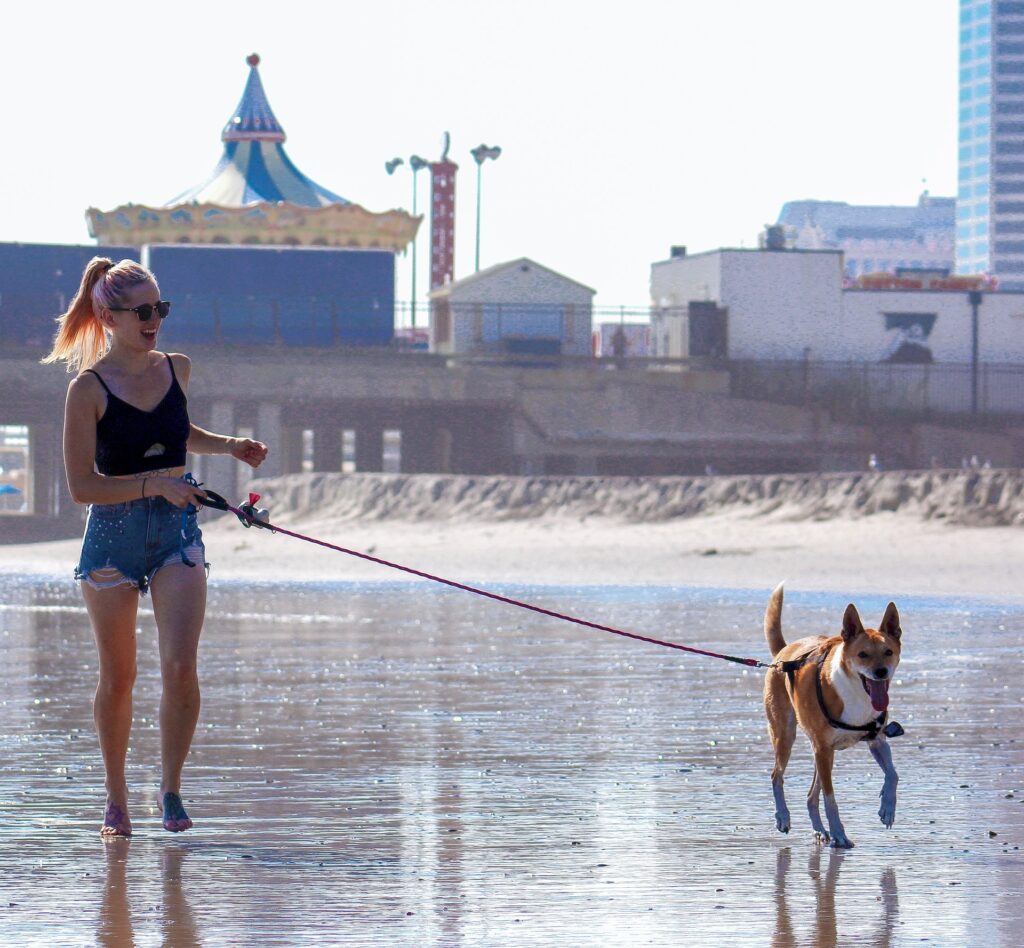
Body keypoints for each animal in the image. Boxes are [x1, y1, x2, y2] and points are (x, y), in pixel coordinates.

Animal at [761, 581, 905, 851]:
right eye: (862, 655)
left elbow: (893, 774)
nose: (881, 672)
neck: (856, 693)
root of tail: (783, 653)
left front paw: (887, 809)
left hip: (822, 753)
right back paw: (783, 817)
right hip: (788, 736)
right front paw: (840, 833)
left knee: (810, 796)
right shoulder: (823, 749)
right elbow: (831, 799)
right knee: (777, 775)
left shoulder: (876, 740)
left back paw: (819, 830)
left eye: (888, 652)